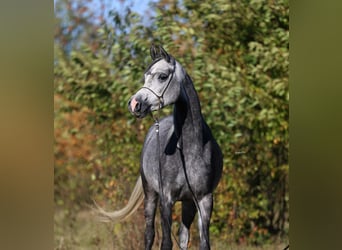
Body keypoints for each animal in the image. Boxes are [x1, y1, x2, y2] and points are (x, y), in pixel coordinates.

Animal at [97, 45, 223, 250]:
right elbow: (165, 242)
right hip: (150, 194)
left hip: (187, 203)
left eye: (162, 76)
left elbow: (203, 243)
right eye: (145, 77)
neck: (189, 149)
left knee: (183, 236)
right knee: (149, 234)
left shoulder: (204, 200)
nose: (134, 104)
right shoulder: (166, 199)